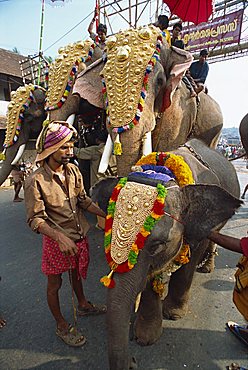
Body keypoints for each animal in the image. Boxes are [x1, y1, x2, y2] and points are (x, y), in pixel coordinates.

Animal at [91, 139, 240, 370]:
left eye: (158, 246)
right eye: (108, 237)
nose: (133, 361)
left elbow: (189, 260)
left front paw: (174, 315)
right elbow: (150, 278)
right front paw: (145, 337)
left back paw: (205, 268)